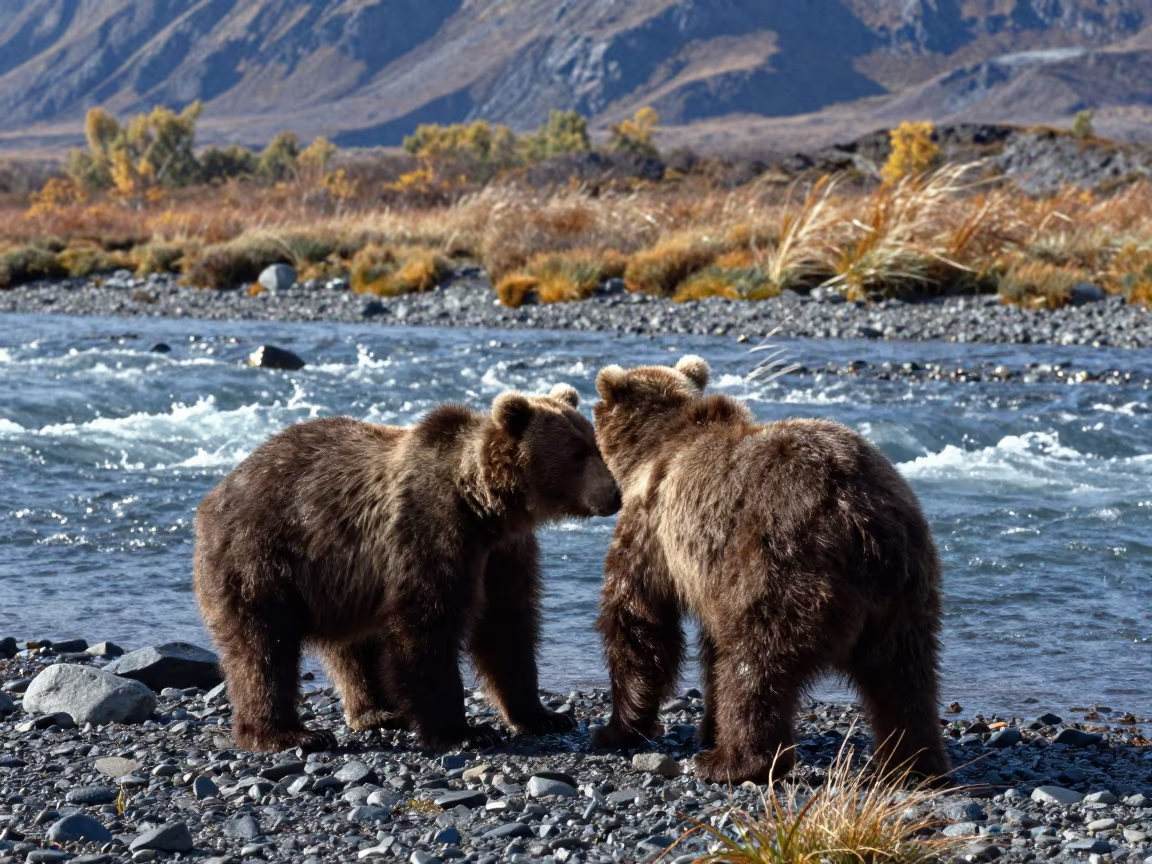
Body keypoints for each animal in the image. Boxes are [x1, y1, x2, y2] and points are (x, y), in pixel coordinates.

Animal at [193, 383, 621, 754]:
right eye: (576, 454)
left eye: (595, 445)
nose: (614, 495)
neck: (484, 507)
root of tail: (214, 494)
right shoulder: (430, 533)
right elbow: (427, 624)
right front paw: (463, 731)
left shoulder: (503, 554)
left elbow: (507, 627)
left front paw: (545, 715)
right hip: (261, 557)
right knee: (264, 648)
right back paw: (286, 734)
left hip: (341, 582)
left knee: (352, 648)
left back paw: (377, 712)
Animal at [588, 355, 950, 785]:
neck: (653, 448)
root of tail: (865, 525)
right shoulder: (710, 574)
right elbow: (705, 645)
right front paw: (705, 727)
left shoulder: (653, 527)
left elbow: (638, 620)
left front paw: (616, 728)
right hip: (909, 592)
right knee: (906, 678)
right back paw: (913, 763)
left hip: (782, 566)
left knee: (756, 662)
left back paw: (732, 762)